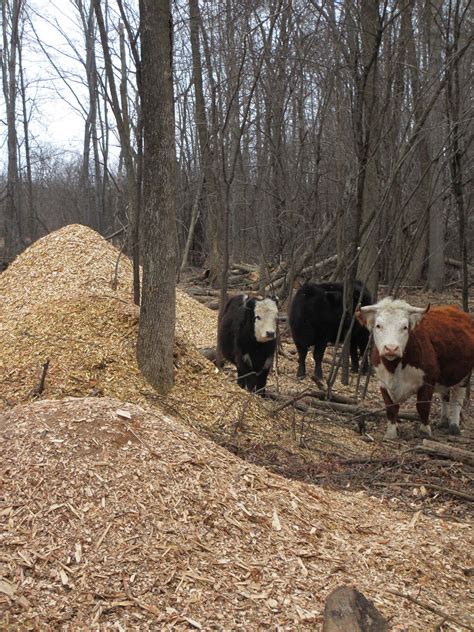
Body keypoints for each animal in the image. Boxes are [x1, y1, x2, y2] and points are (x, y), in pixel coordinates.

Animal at [358, 298, 474, 440]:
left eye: (405, 327)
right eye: (378, 326)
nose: (391, 348)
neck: (394, 368)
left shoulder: (428, 380)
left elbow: (422, 406)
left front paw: (425, 431)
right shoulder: (383, 382)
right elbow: (391, 408)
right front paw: (391, 433)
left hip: (465, 376)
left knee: (457, 399)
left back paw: (454, 426)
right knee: (445, 396)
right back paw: (443, 420)